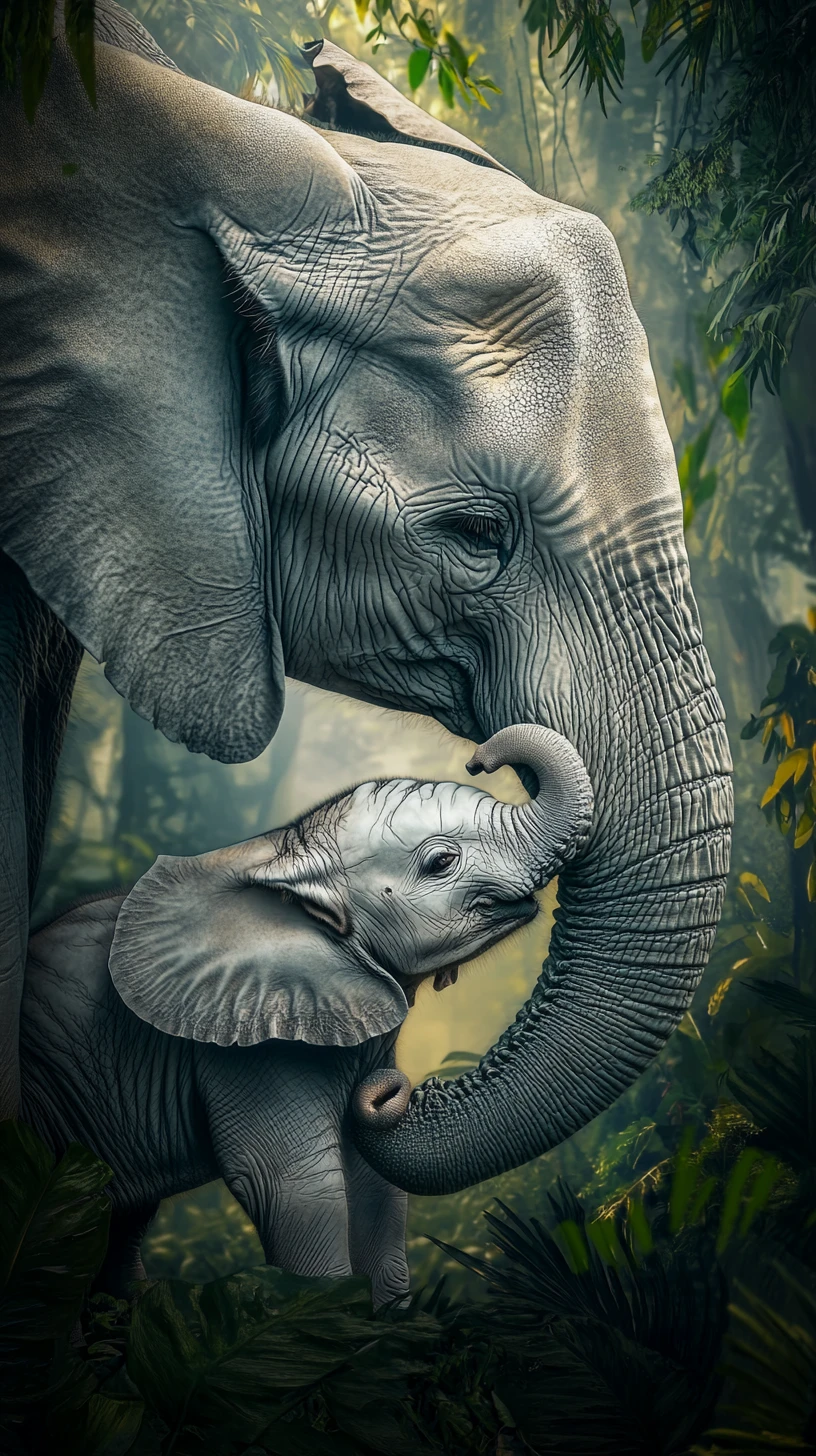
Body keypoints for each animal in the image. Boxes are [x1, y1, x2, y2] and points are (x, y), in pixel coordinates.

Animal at [21, 724, 590, 1298]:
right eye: (441, 863)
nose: (479, 758)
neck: (286, 852)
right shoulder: (250, 1044)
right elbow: (295, 1187)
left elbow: (376, 1187)